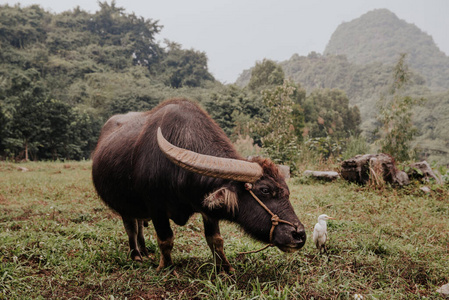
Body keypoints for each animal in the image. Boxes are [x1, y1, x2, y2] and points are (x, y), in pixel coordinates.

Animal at [92, 98, 306, 272]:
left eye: (287, 192)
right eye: (265, 190)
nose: (299, 235)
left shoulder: (206, 207)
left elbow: (216, 240)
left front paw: (225, 268)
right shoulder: (156, 208)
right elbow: (166, 239)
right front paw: (167, 268)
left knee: (138, 224)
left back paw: (144, 250)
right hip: (124, 204)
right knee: (131, 226)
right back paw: (136, 255)